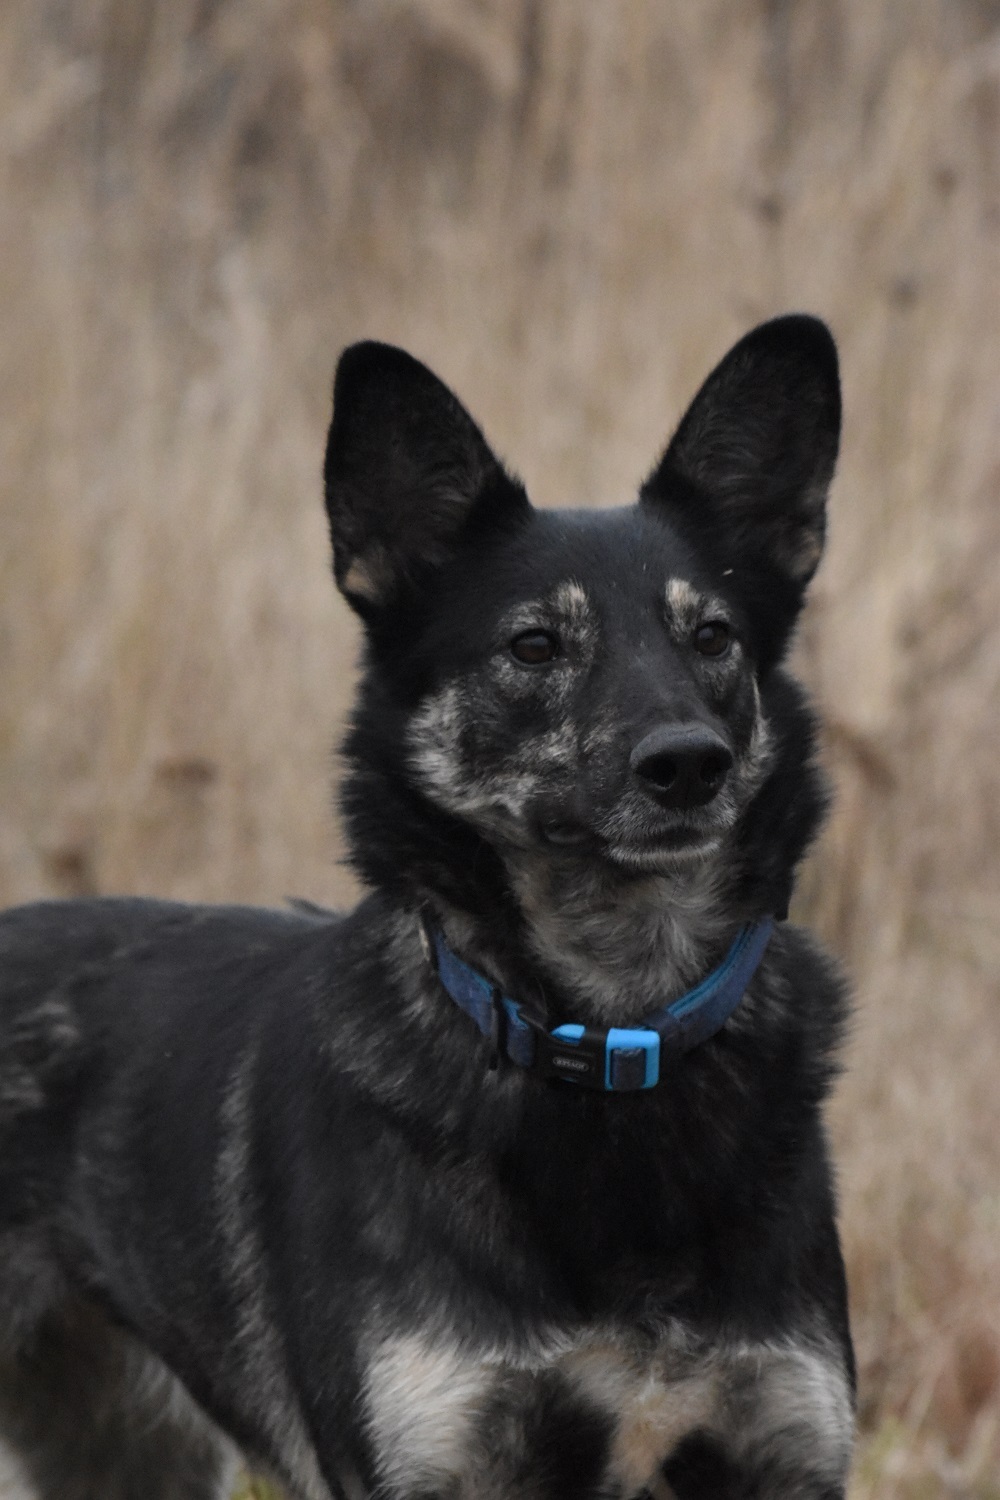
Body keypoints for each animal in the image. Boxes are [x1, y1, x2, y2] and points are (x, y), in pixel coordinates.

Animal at [0, 310, 851, 1494]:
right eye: (533, 645)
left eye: (713, 635)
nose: (690, 765)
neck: (612, 1035)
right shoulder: (436, 1452)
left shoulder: (779, 1442)